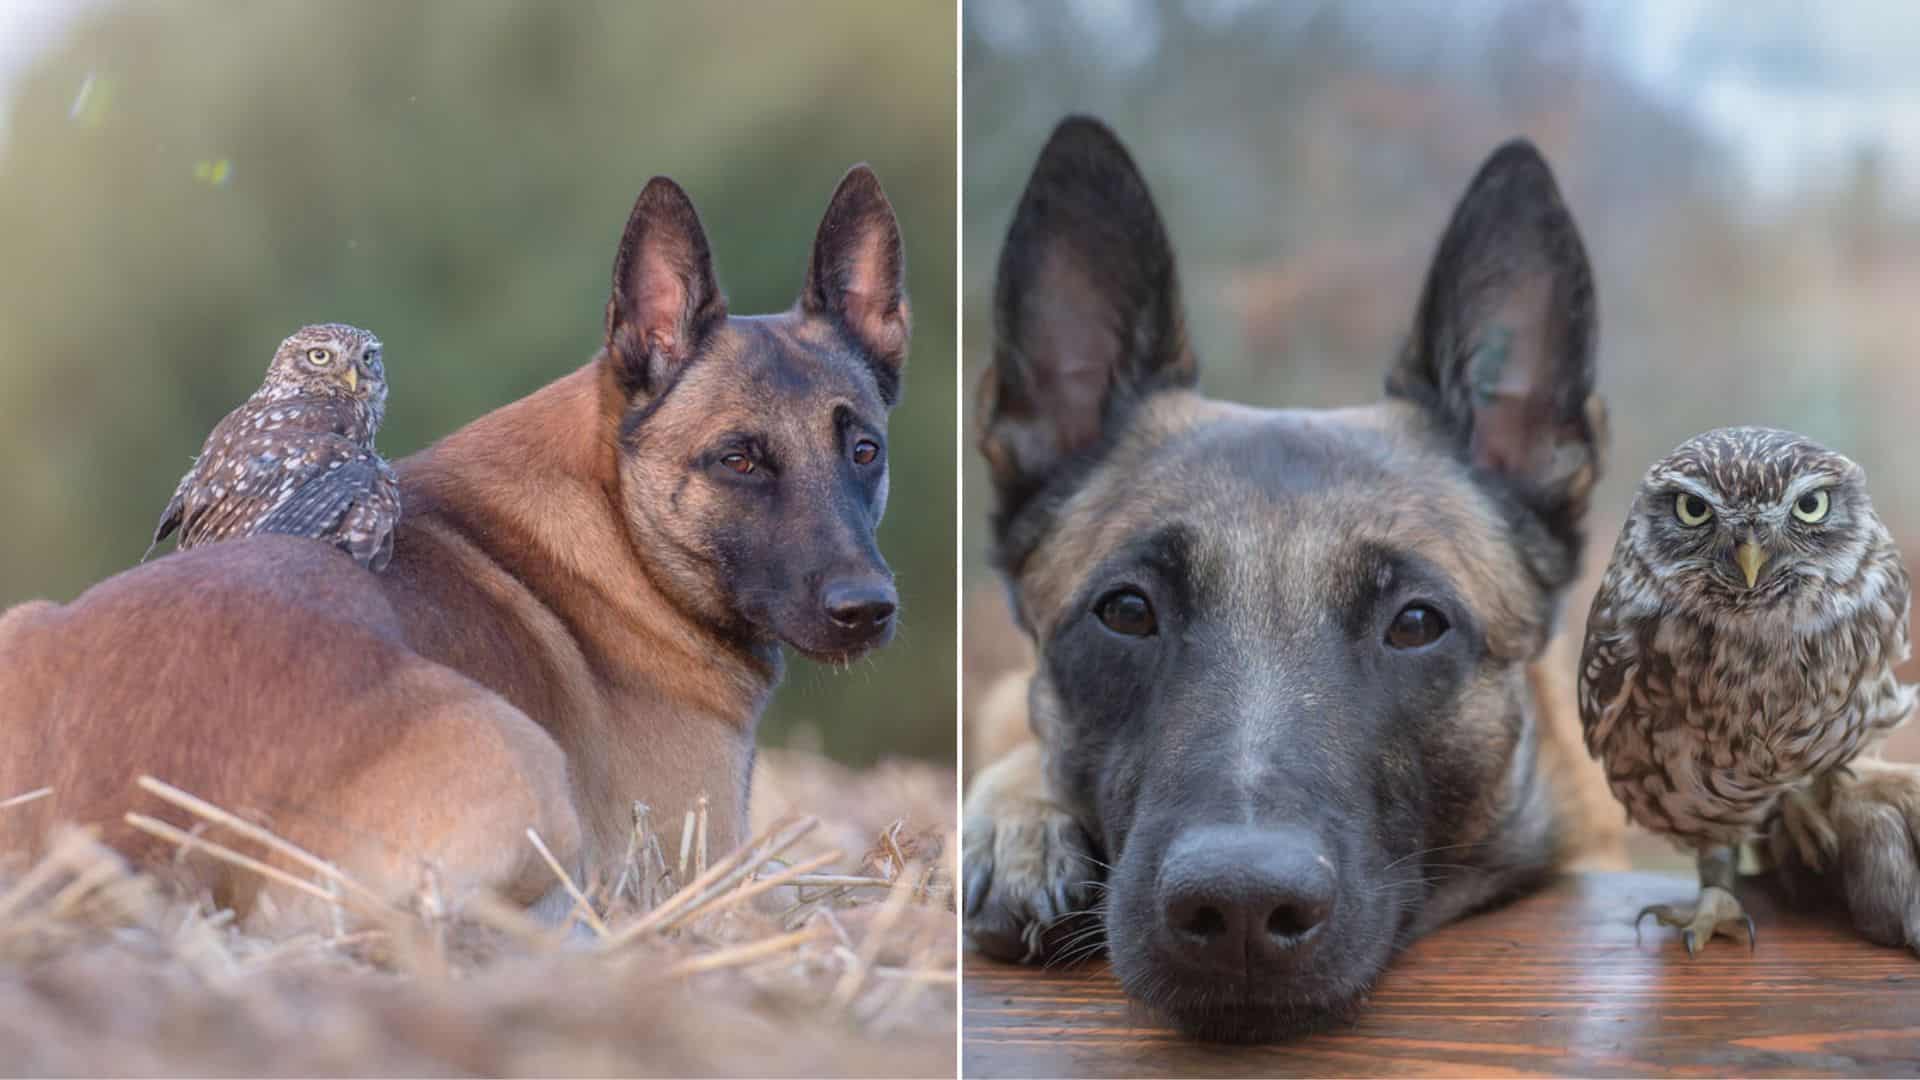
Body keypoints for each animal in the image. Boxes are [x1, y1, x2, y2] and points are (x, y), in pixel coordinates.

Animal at [0, 164, 910, 922]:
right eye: (738, 460)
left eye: (865, 451)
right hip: (524, 768)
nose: (868, 610)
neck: (616, 518)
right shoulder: (706, 867)